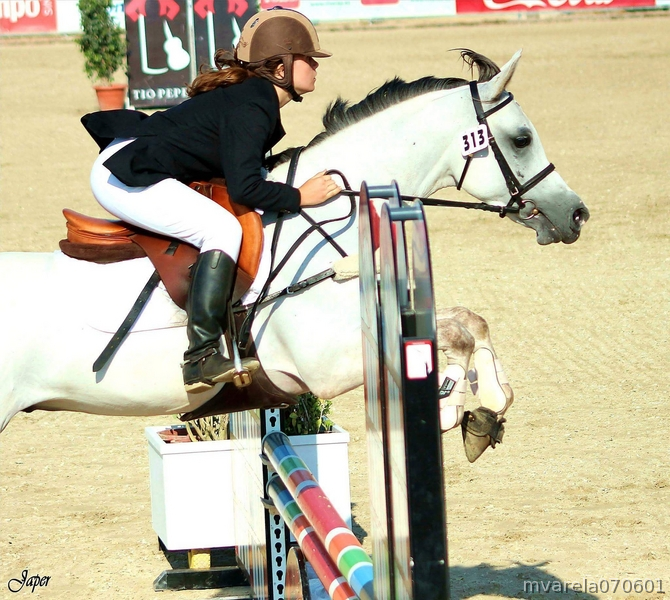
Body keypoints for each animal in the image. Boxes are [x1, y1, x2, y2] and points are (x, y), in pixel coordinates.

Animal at [0, 50, 588, 451]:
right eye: (520, 138)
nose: (576, 214)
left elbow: (469, 321)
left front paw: (487, 407)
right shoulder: (323, 361)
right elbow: (454, 333)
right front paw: (459, 411)